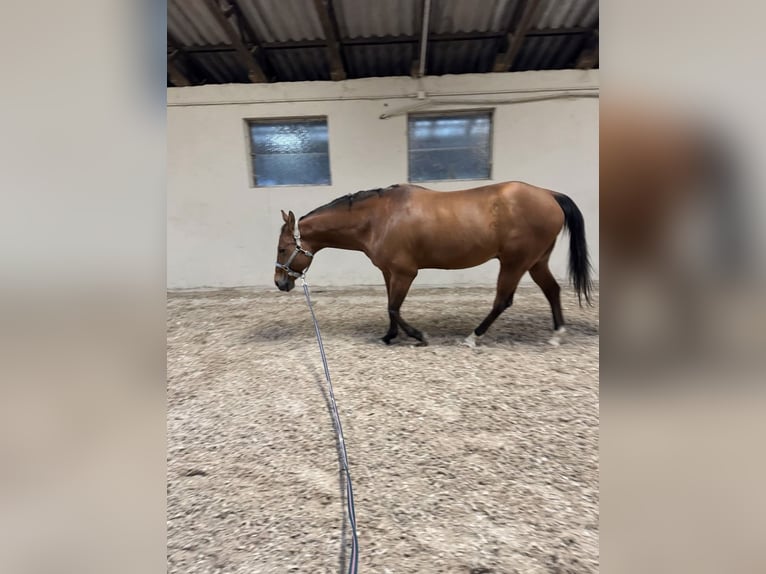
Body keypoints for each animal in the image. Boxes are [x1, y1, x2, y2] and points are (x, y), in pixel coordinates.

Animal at [274, 181, 593, 347]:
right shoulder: (390, 272)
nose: (280, 282)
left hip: (515, 262)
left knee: (503, 300)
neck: (378, 218)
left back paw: (473, 337)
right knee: (552, 290)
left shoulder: (406, 273)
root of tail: (549, 195)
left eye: (282, 248)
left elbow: (394, 307)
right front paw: (390, 336)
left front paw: (418, 336)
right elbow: (390, 305)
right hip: (536, 261)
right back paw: (556, 335)